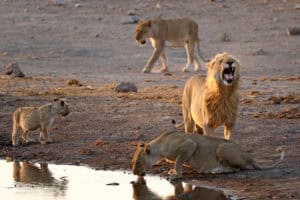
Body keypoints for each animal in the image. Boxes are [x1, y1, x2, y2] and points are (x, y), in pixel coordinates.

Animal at [132, 130, 284, 180]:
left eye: (136, 162)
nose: (133, 173)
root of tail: (248, 155)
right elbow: (177, 163)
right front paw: (172, 171)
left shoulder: (189, 145)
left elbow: (178, 162)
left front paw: (176, 175)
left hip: (222, 148)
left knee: (237, 168)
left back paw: (217, 170)